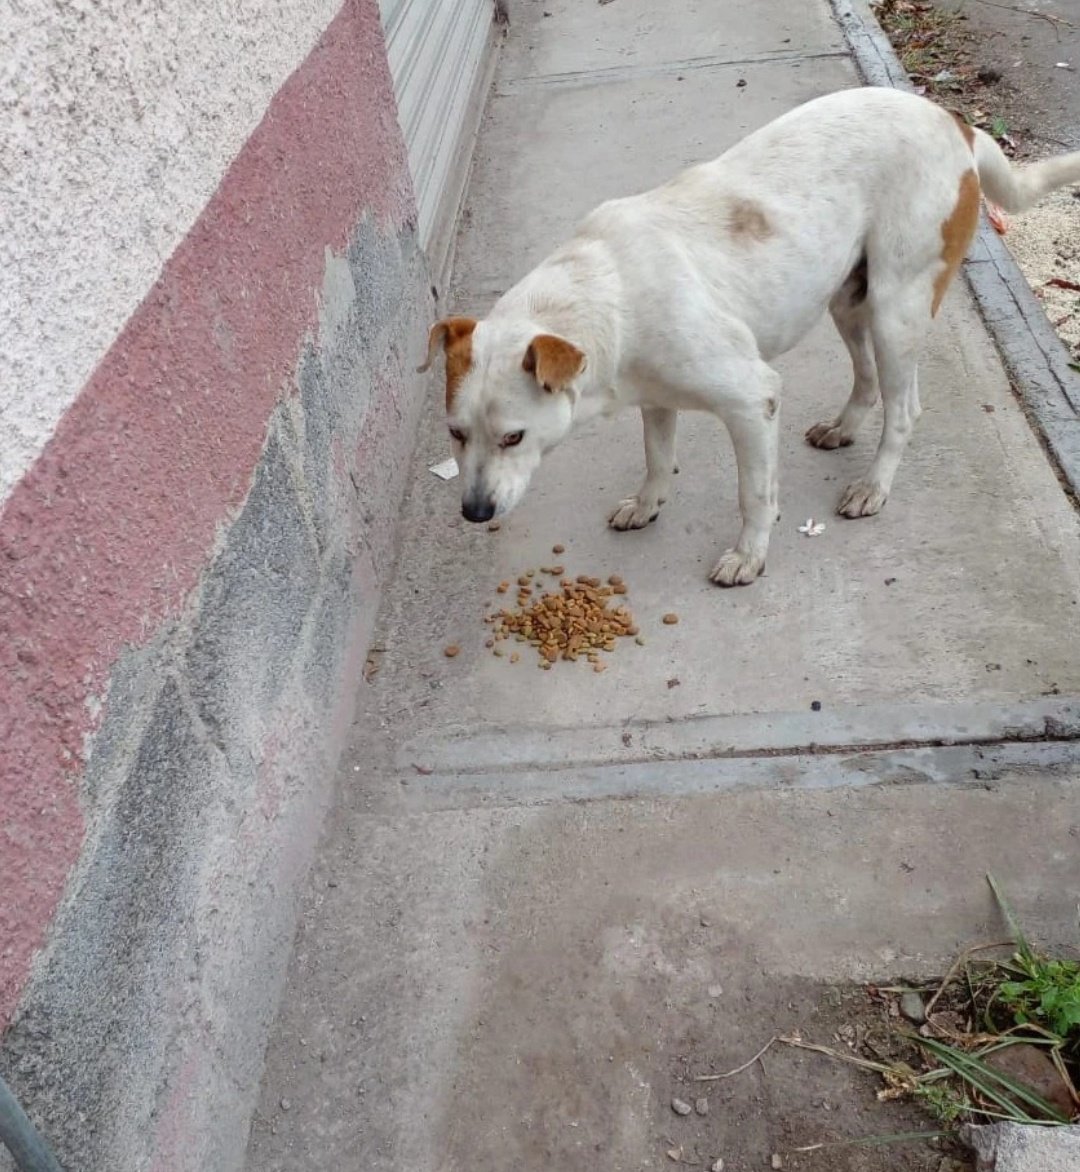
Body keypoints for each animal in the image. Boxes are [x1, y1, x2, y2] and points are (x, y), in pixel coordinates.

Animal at [414, 87, 1077, 586]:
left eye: (514, 437)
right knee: (864, 378)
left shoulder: (751, 399)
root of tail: (953, 122)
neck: (604, 292)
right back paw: (843, 428)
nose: (474, 513)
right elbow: (657, 459)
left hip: (897, 307)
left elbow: (755, 494)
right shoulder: (655, 398)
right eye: (455, 433)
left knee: (904, 407)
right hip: (846, 299)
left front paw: (749, 556)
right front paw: (648, 505)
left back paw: (873, 486)